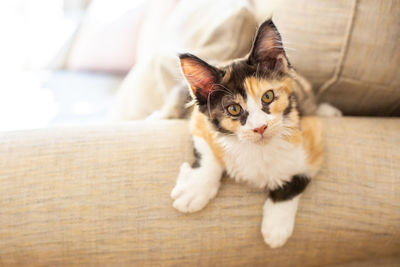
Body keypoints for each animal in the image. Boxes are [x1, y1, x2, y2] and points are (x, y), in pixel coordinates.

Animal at [162, 19, 340, 249]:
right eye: (234, 109)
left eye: (268, 96)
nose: (260, 128)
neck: (259, 149)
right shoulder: (200, 121)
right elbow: (208, 154)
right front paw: (195, 190)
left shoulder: (313, 136)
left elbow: (297, 178)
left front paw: (276, 228)